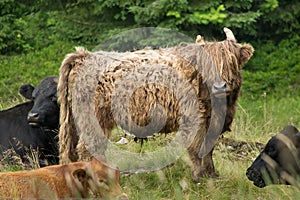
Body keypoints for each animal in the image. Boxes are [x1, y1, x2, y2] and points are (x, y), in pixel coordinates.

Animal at [58, 28, 253, 183]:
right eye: (206, 64)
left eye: (232, 62)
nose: (220, 86)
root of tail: (84, 56)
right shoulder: (194, 118)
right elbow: (197, 148)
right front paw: (198, 176)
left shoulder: (213, 120)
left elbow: (209, 148)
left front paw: (212, 174)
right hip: (93, 118)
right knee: (88, 147)